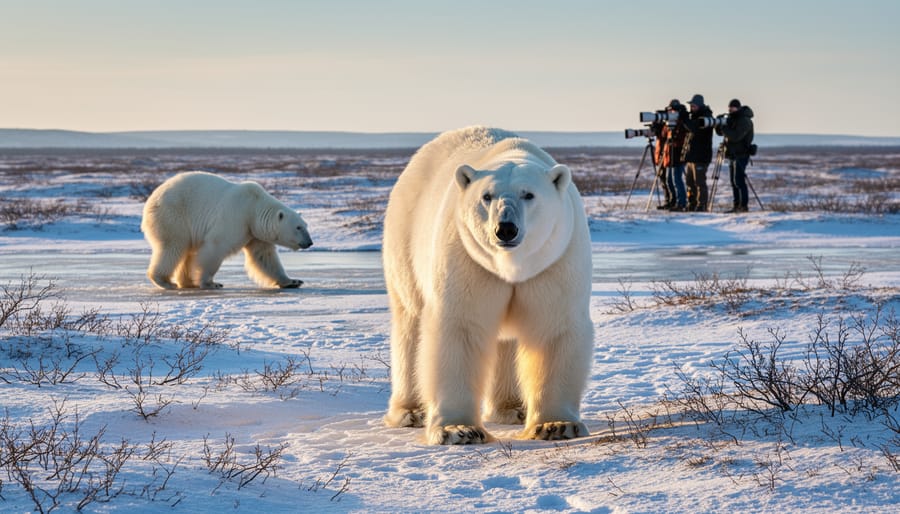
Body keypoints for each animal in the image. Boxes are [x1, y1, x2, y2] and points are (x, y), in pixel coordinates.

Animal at [141, 171, 312, 289]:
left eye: (306, 225)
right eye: (298, 227)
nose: (310, 242)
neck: (253, 207)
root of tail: (151, 199)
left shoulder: (254, 232)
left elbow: (265, 256)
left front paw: (293, 281)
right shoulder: (236, 218)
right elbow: (216, 247)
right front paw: (210, 283)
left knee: (186, 250)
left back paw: (187, 282)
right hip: (173, 217)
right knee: (173, 246)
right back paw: (165, 282)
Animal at [382, 126, 594, 445]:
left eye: (528, 194)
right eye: (486, 196)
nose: (505, 229)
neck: (511, 266)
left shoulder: (555, 262)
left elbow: (553, 328)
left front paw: (555, 425)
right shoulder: (467, 260)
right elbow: (461, 327)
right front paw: (458, 430)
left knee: (506, 342)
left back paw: (512, 408)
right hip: (404, 236)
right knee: (410, 320)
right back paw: (410, 411)